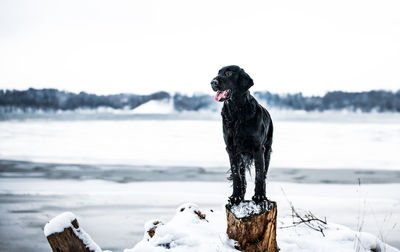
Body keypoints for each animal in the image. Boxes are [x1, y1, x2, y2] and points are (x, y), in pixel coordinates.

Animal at [211, 66, 274, 206]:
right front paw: (236, 197)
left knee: (264, 173)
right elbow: (236, 175)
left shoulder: (258, 149)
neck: (237, 112)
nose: (213, 82)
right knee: (242, 176)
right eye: (218, 73)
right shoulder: (231, 149)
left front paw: (259, 196)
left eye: (228, 73)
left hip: (267, 151)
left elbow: (259, 174)